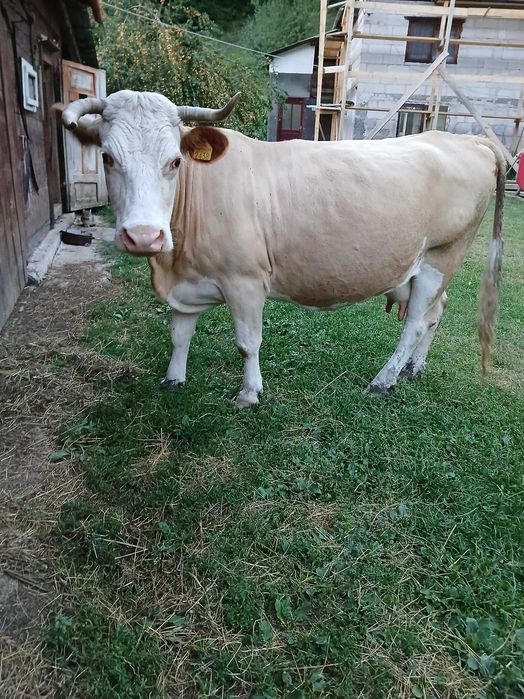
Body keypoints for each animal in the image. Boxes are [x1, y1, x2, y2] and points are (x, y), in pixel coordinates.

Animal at [59, 90, 504, 406]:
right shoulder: (186, 282)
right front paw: (173, 379)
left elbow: (248, 342)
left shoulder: (245, 280)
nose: (144, 236)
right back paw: (413, 368)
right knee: (435, 313)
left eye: (174, 162)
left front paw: (249, 393)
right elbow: (179, 334)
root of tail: (466, 139)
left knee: (415, 323)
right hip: (420, 266)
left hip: (442, 256)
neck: (171, 264)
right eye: (107, 157)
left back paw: (384, 380)